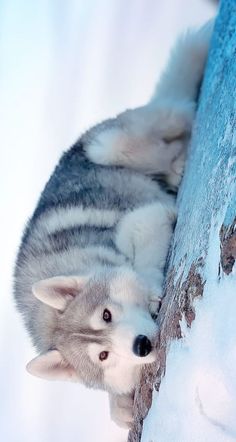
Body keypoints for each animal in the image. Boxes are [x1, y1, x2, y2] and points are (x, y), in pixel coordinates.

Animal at [14, 22, 212, 426]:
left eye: (106, 314)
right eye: (103, 356)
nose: (142, 345)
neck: (89, 263)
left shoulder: (146, 217)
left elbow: (143, 263)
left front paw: (149, 288)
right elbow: (118, 412)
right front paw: (120, 403)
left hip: (111, 143)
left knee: (180, 119)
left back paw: (176, 163)